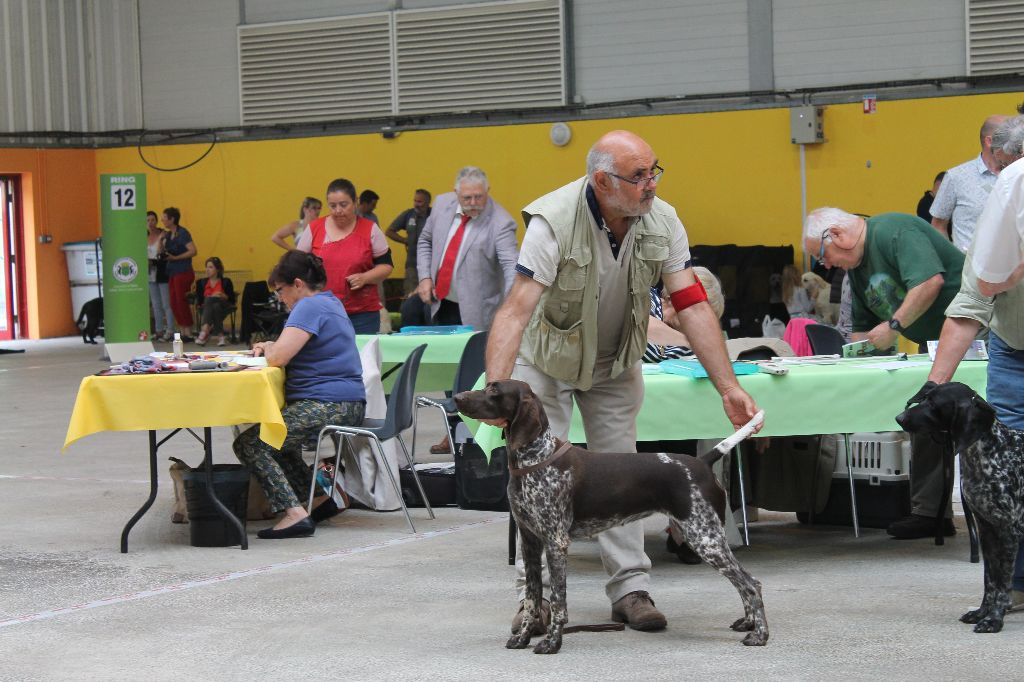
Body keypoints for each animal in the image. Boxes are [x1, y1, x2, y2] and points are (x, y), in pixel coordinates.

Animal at [456, 378, 770, 651]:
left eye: (494, 390)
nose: (457, 397)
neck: (535, 457)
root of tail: (703, 462)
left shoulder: (556, 543)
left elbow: (557, 601)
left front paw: (552, 643)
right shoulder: (530, 542)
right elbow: (534, 599)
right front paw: (523, 638)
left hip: (706, 538)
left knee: (751, 584)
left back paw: (760, 635)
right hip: (707, 538)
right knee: (745, 584)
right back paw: (747, 624)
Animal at [897, 382, 1024, 630]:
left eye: (933, 403)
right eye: (924, 396)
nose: (899, 417)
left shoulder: (1008, 530)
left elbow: (1003, 583)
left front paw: (994, 619)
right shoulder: (986, 529)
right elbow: (990, 581)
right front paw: (981, 612)